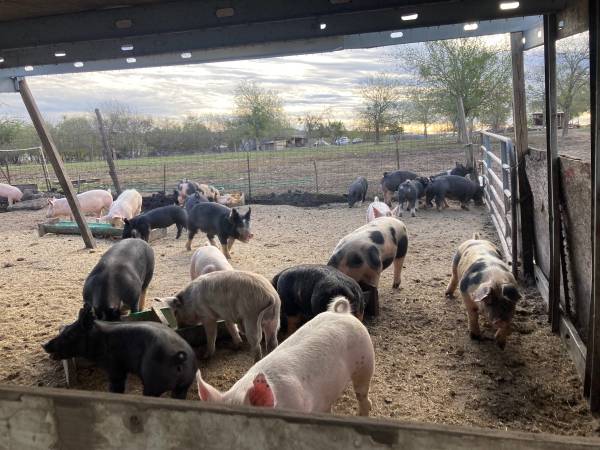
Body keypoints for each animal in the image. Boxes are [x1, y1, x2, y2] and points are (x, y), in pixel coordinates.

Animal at [43, 304, 196, 398]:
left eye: (70, 334)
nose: (44, 344)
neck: (99, 339)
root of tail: (178, 356)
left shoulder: (114, 367)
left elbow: (116, 385)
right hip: (184, 386)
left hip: (153, 382)